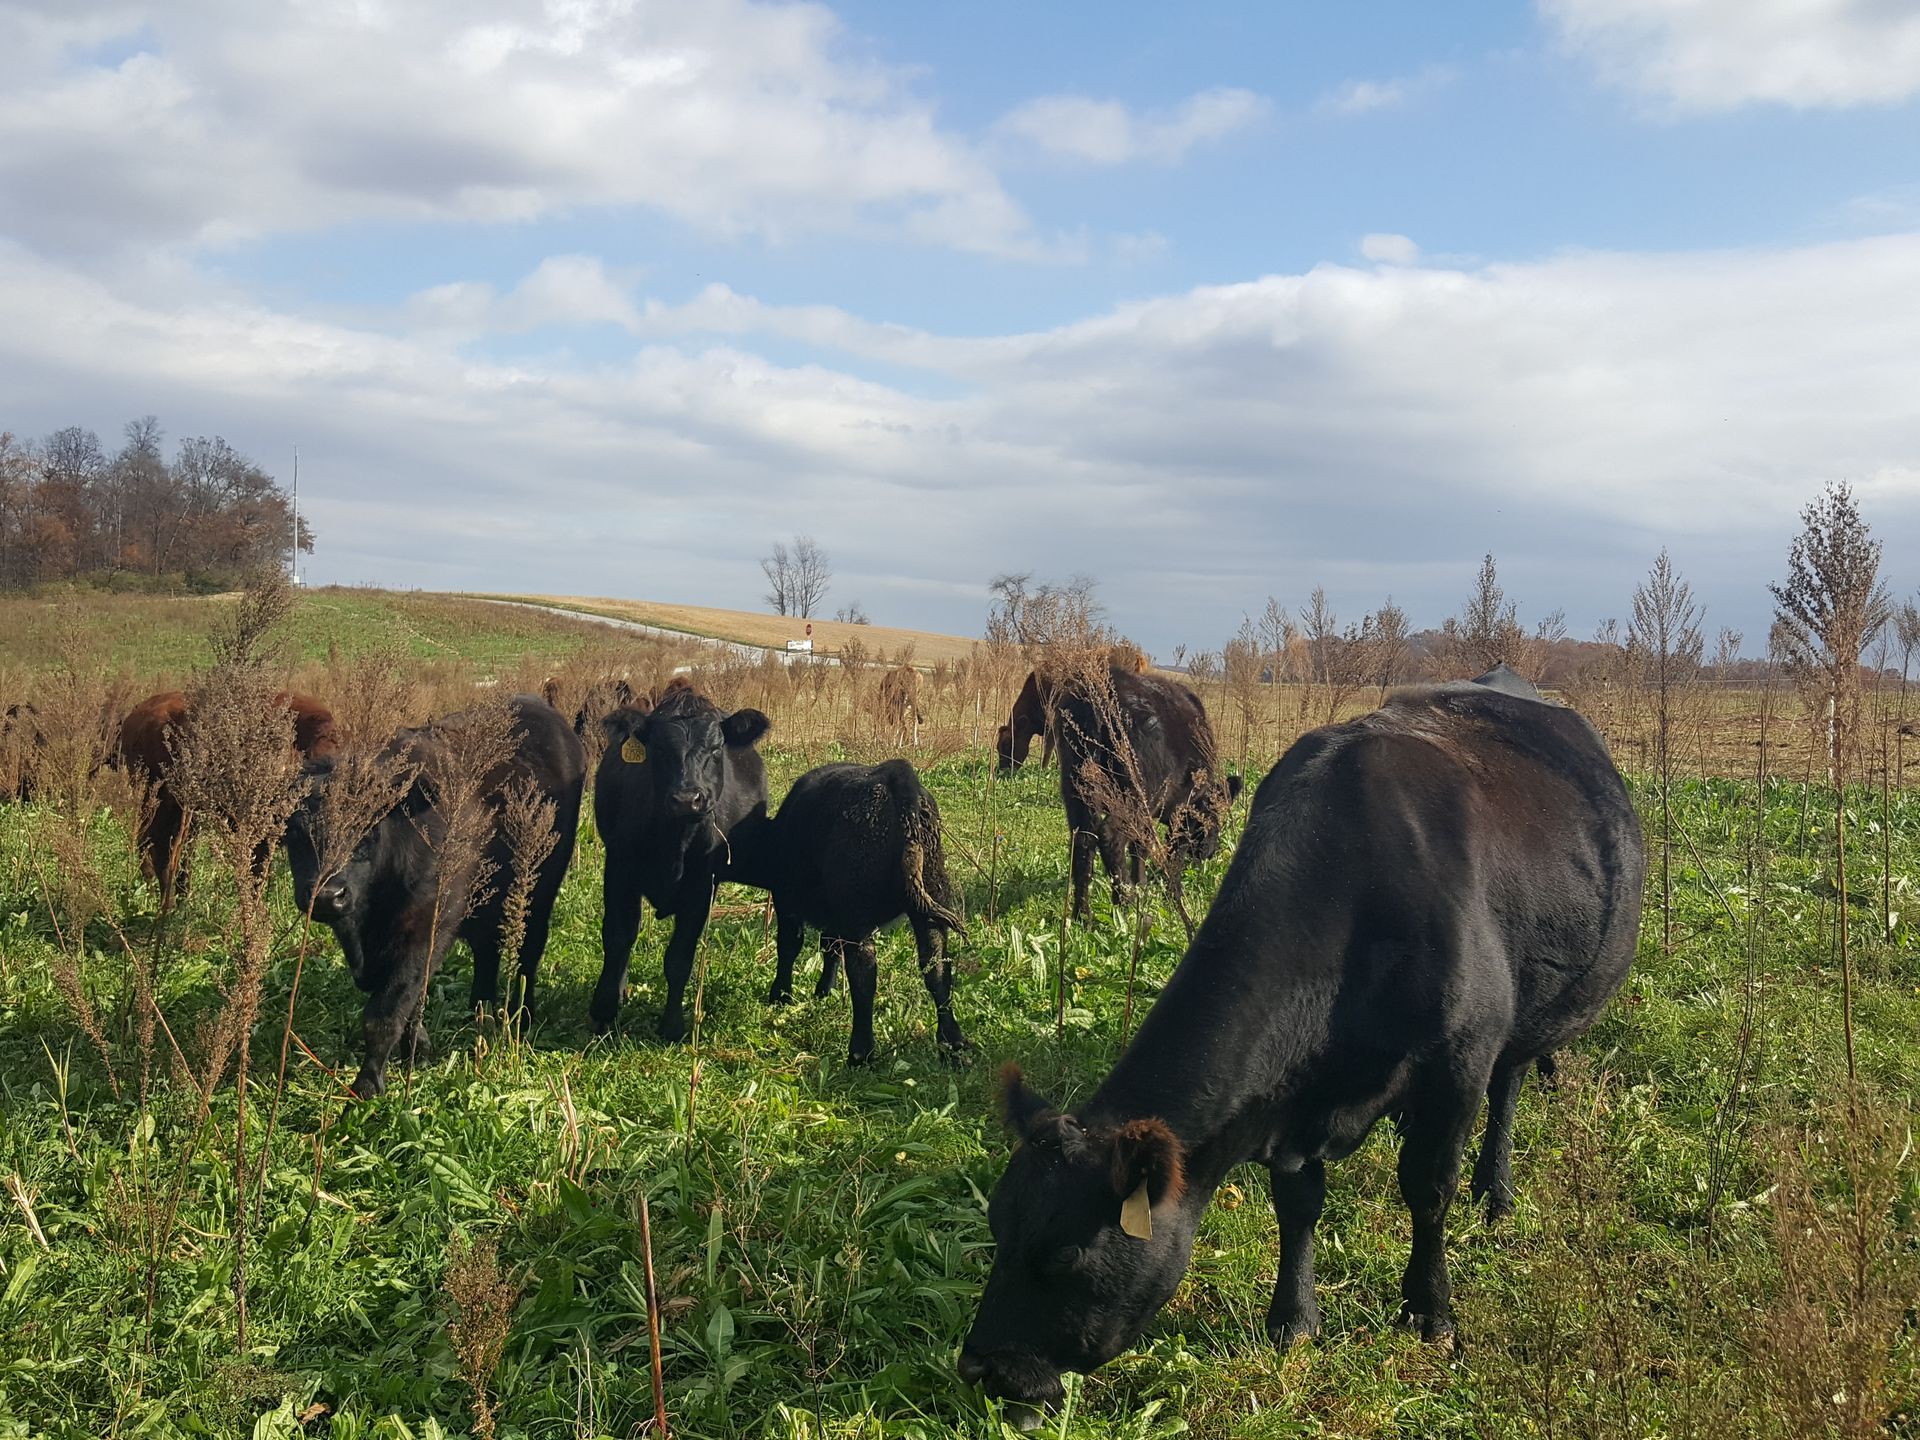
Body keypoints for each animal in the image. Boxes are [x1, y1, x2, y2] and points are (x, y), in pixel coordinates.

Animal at [284, 694, 585, 1099]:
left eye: (369, 826)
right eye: (295, 831)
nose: (328, 895)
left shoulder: (426, 928)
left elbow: (386, 1010)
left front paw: (367, 1084)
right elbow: (408, 1002)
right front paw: (419, 1050)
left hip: (537, 889)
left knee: (529, 948)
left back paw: (521, 1015)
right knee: (486, 951)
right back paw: (480, 1007)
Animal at [591, 681, 772, 1040]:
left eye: (716, 749)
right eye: (659, 748)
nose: (688, 799)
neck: (675, 840)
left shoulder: (702, 886)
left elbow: (679, 958)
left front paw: (672, 1026)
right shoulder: (619, 868)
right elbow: (618, 937)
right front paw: (604, 1010)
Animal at [732, 759, 967, 1063]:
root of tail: (895, 776)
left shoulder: (788, 901)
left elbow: (789, 946)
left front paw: (781, 996)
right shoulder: (835, 916)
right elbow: (830, 947)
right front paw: (824, 990)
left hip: (858, 911)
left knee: (863, 971)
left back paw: (860, 1052)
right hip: (931, 897)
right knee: (936, 967)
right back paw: (953, 1043)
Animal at [1052, 667, 1241, 921]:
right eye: (1215, 816)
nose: (1209, 853)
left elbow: (1140, 846)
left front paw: (1142, 884)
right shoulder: (1181, 807)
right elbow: (1174, 851)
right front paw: (1173, 897)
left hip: (1078, 788)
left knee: (1083, 843)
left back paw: (1083, 916)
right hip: (1133, 794)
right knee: (1109, 836)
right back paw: (1125, 903)